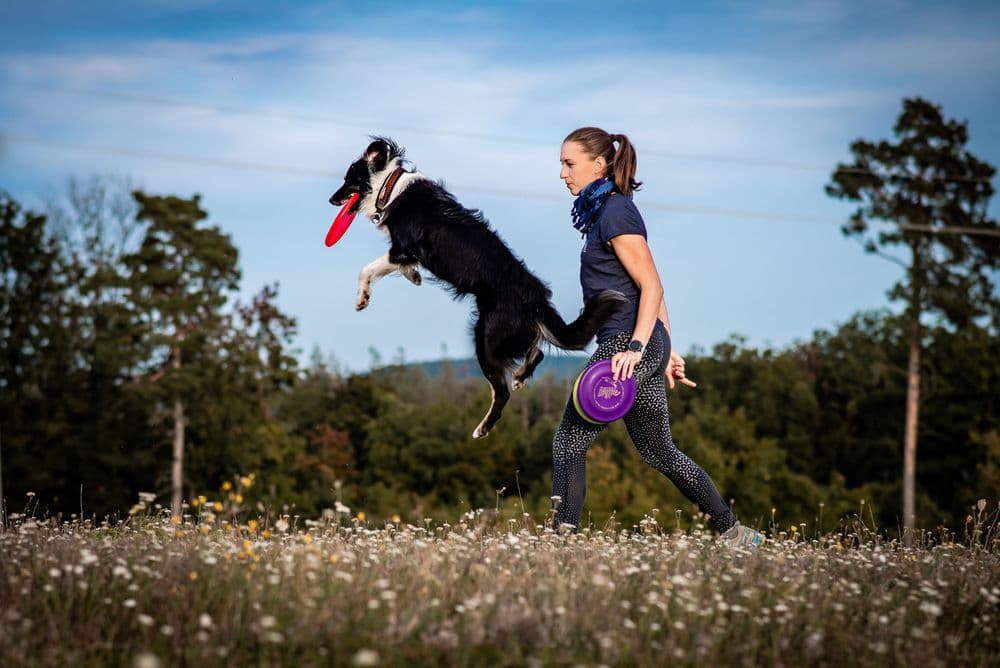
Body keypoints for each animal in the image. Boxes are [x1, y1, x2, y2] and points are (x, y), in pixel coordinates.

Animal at [328, 137, 624, 438]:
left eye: (349, 179)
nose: (331, 199)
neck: (390, 186)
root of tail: (535, 298)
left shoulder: (403, 248)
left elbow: (367, 269)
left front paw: (362, 298)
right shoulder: (404, 254)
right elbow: (398, 268)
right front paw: (414, 276)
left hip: (486, 337)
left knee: (502, 391)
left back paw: (483, 428)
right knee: (537, 350)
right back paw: (520, 377)